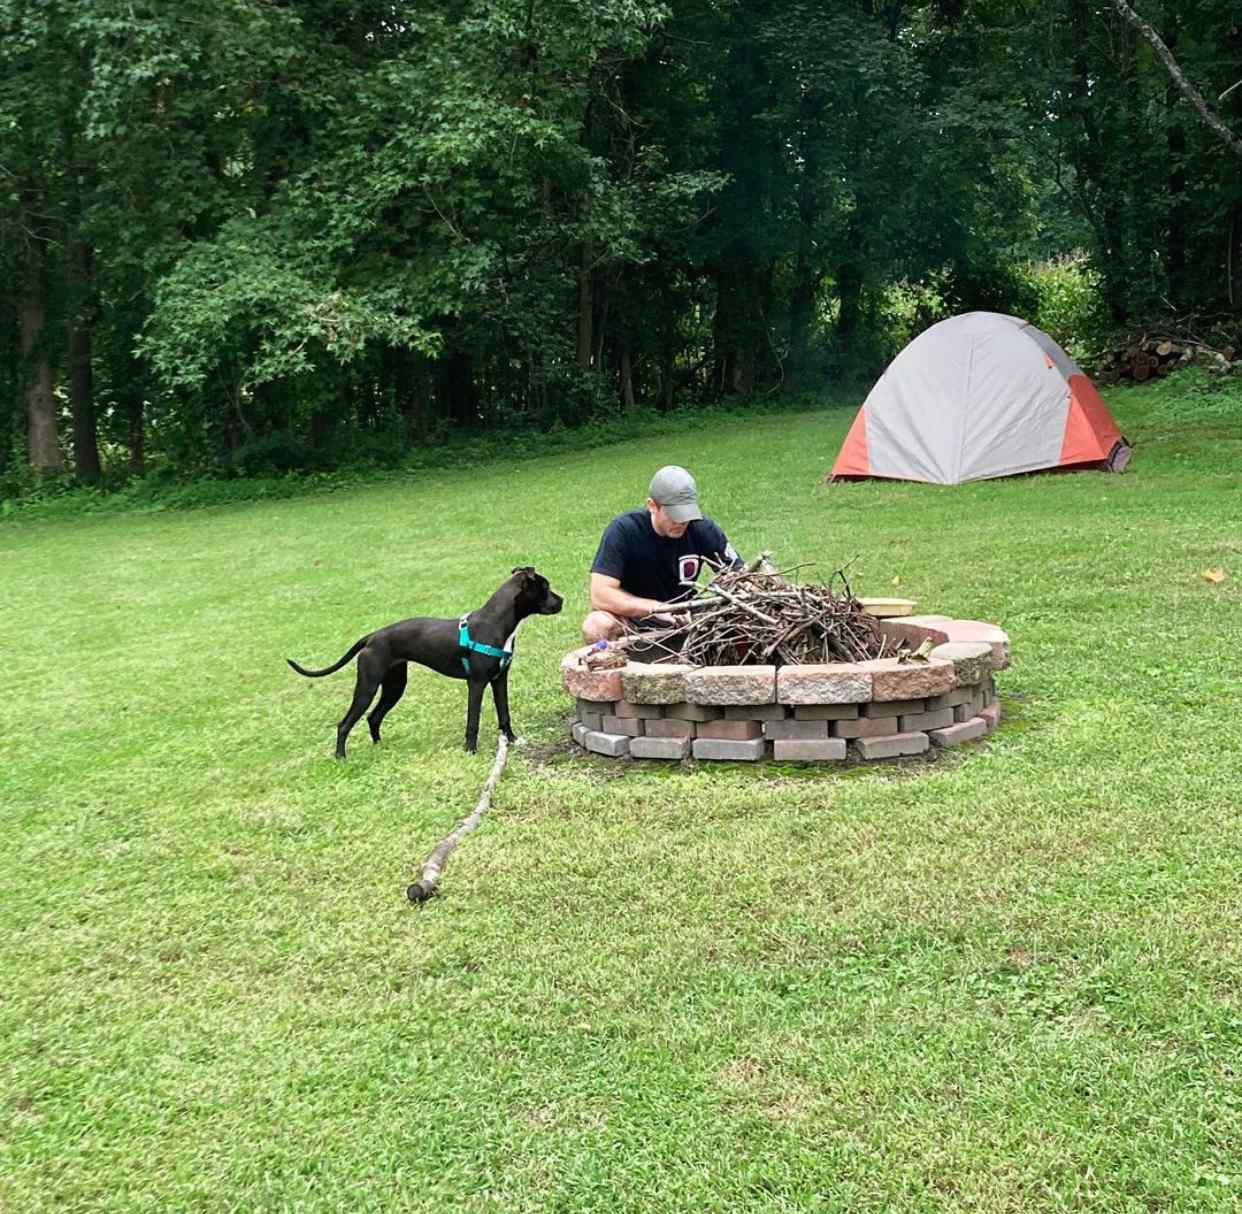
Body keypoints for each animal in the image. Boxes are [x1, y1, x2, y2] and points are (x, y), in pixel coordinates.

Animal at [285, 564, 563, 755]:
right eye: (546, 588)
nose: (563, 600)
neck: (497, 622)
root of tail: (373, 636)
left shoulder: (499, 680)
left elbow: (504, 714)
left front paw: (513, 740)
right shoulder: (476, 684)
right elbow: (473, 720)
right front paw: (470, 750)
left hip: (395, 685)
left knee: (373, 717)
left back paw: (380, 747)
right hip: (367, 686)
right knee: (344, 723)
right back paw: (341, 757)